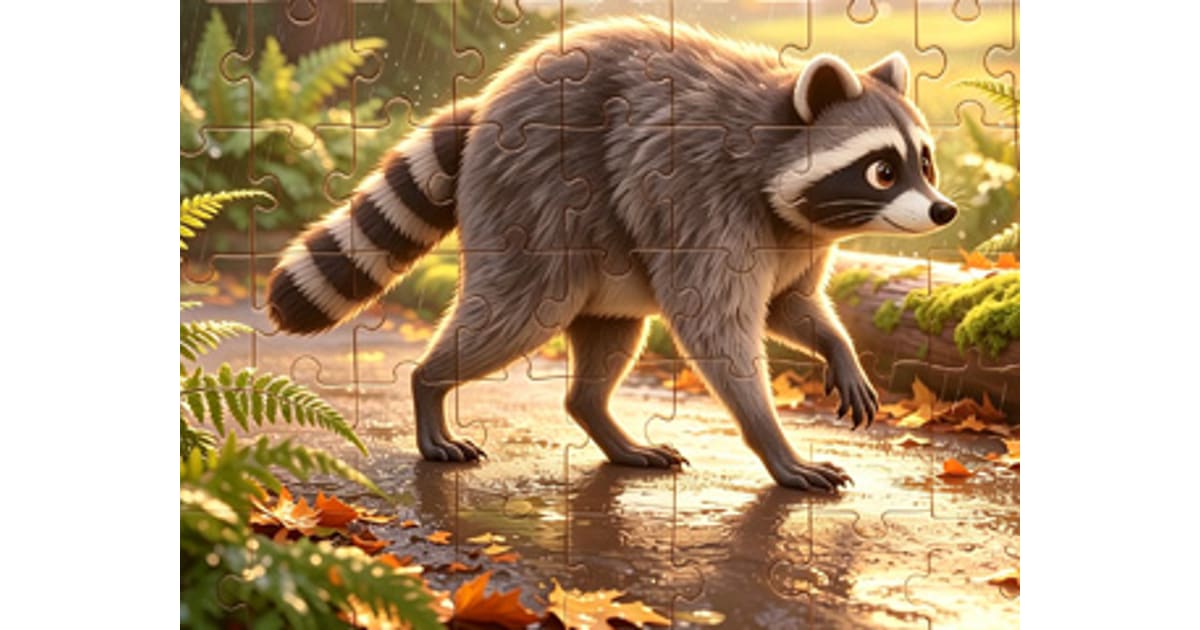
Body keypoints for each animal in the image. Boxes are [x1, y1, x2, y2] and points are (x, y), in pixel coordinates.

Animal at [265, 17, 957, 491]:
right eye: (882, 171)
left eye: (925, 163)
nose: (944, 211)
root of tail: (488, 98)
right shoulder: (702, 201)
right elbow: (716, 330)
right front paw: (772, 441)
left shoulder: (796, 240)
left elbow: (787, 306)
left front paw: (837, 347)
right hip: (536, 198)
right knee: (516, 313)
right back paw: (429, 383)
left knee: (607, 335)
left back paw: (600, 419)